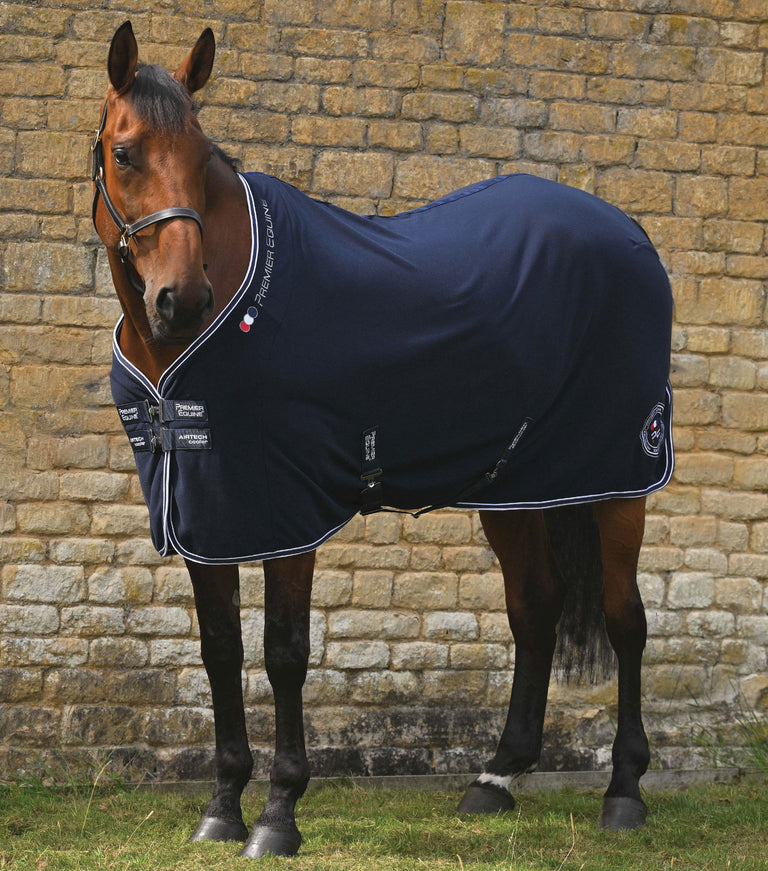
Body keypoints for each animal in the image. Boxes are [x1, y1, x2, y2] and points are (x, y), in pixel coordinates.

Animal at [90, 21, 674, 859]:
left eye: (202, 157)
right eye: (125, 152)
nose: (182, 299)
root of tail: (628, 232)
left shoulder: (285, 510)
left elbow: (284, 652)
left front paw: (278, 813)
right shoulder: (205, 510)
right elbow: (220, 648)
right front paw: (221, 806)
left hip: (623, 475)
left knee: (626, 617)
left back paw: (624, 791)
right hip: (516, 485)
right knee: (536, 605)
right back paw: (495, 777)